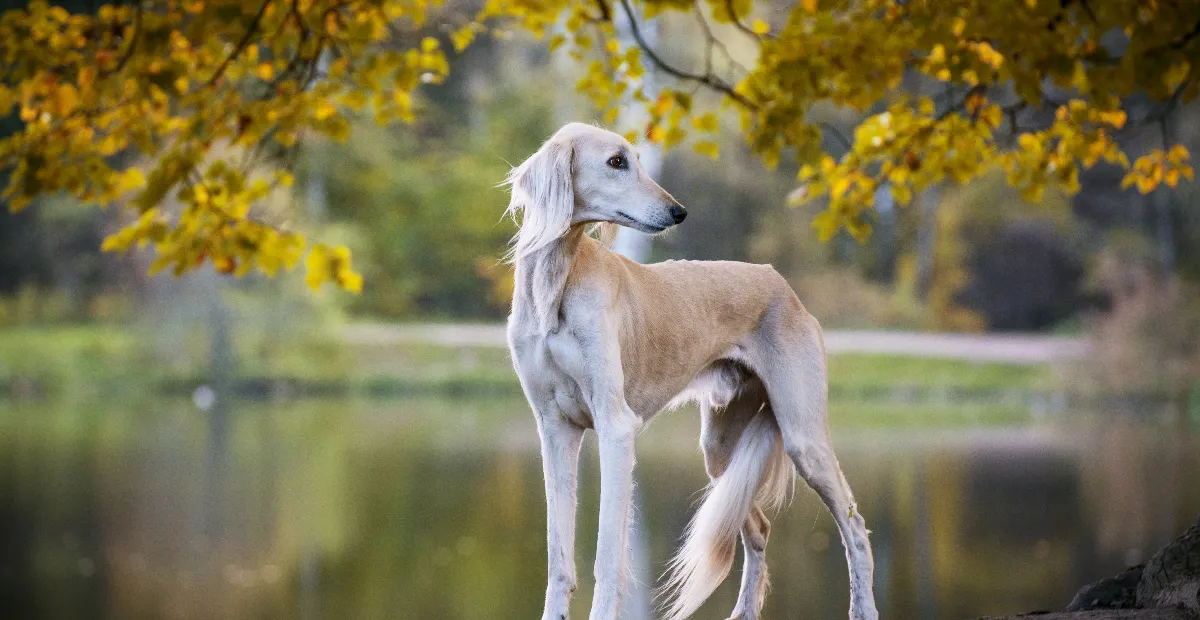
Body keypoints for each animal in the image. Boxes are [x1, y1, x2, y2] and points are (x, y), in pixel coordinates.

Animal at [506, 121, 883, 618]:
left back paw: (864, 607)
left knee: (855, 525)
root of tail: (781, 283)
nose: (678, 212)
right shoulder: (554, 429)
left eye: (638, 159)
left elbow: (607, 557)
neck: (556, 282)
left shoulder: (615, 426)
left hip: (804, 437)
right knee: (758, 528)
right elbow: (558, 558)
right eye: (615, 162)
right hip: (720, 448)